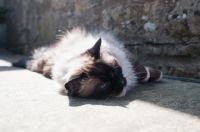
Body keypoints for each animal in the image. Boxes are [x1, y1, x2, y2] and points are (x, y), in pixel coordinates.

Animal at [12, 27, 162, 99]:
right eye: (104, 86)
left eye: (115, 69)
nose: (122, 82)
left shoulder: (125, 56)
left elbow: (142, 70)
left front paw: (158, 75)